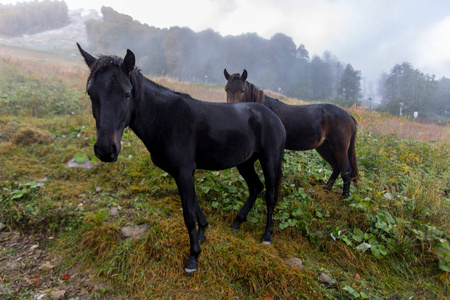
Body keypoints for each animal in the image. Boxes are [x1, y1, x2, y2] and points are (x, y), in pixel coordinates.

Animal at [78, 44, 284, 274]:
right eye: (91, 93)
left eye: (126, 94)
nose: (106, 150)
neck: (165, 119)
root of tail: (274, 117)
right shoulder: (185, 173)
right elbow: (195, 205)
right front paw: (203, 233)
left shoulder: (183, 172)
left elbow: (189, 215)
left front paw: (193, 257)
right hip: (245, 162)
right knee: (255, 187)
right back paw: (238, 222)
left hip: (269, 160)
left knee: (270, 196)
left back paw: (266, 235)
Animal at [223, 69, 356, 198]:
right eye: (226, 89)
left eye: (242, 90)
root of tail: (348, 116)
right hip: (324, 147)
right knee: (336, 167)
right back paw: (326, 189)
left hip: (339, 148)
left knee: (346, 171)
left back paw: (345, 197)